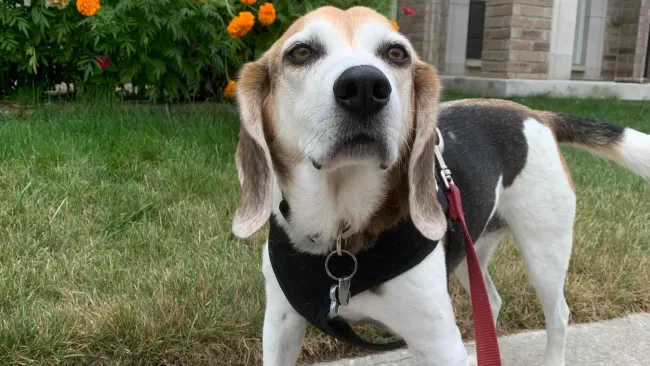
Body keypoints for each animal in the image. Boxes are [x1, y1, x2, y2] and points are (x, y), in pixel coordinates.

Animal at [230, 5, 648, 366]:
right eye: (300, 52)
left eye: (397, 54)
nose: (365, 86)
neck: (340, 236)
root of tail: (535, 113)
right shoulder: (281, 325)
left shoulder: (438, 342)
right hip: (470, 249)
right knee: (491, 301)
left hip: (545, 248)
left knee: (559, 313)